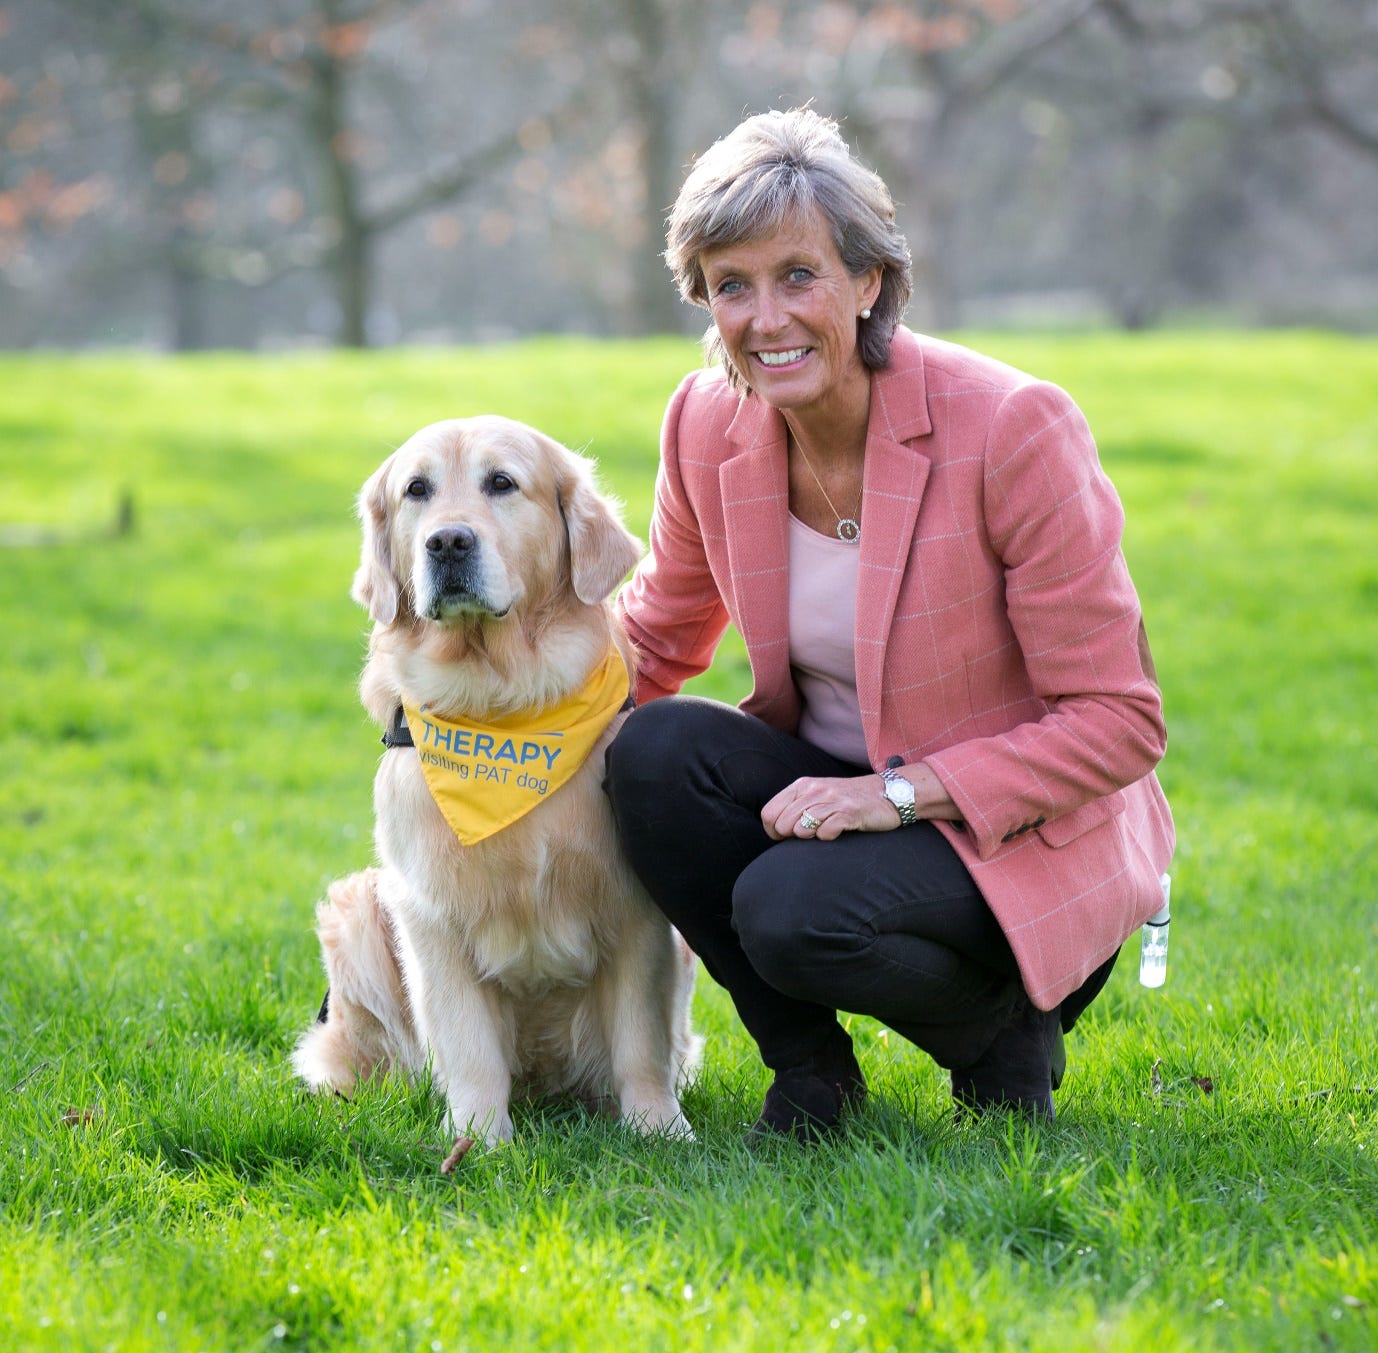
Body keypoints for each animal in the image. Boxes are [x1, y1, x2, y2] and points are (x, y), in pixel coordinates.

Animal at [294, 418, 694, 1151]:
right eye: (416, 490)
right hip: (360, 906)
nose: (448, 542)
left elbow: (640, 1040)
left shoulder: (635, 910)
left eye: (501, 483)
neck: (502, 703)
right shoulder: (432, 914)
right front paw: (477, 1138)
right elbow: (469, 1042)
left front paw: (659, 1126)